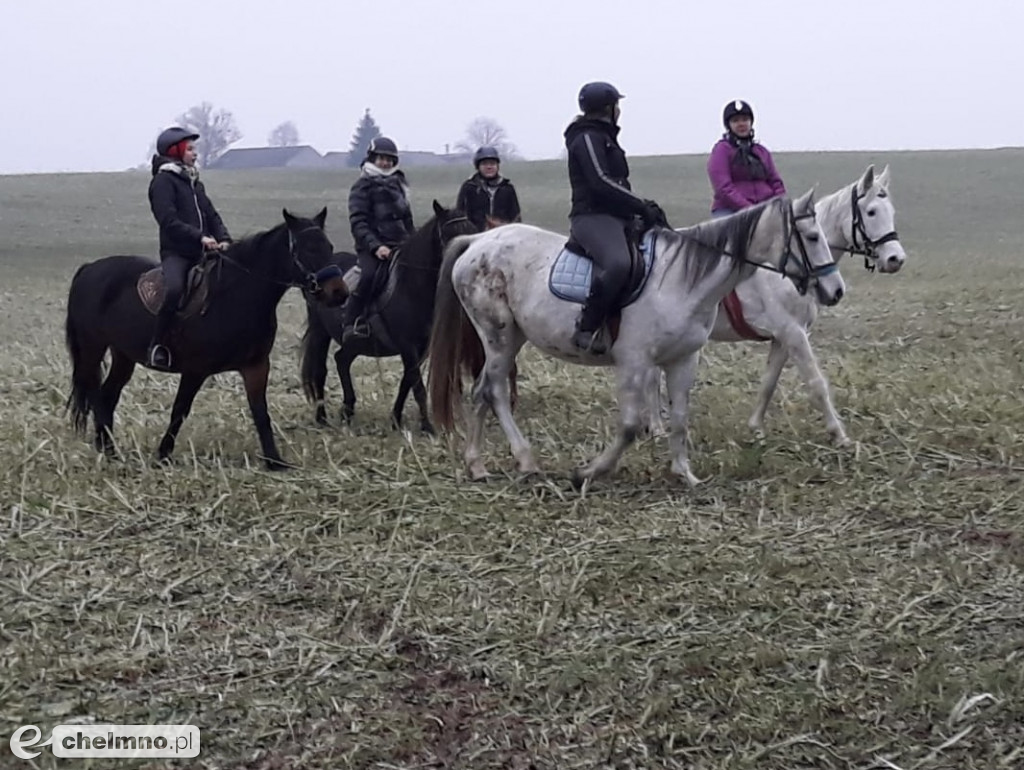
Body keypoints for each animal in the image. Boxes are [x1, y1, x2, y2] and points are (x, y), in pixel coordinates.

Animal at [68, 205, 350, 468]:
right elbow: (180, 411)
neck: (237, 295)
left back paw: (107, 448)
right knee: (95, 395)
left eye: (329, 246)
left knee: (108, 395)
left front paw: (274, 461)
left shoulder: (256, 366)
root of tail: (89, 269)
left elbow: (260, 412)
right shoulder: (195, 370)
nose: (339, 292)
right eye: (307, 249)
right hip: (92, 348)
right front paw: (163, 455)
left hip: (123, 355)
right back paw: (110, 450)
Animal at [299, 199, 475, 434]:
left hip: (355, 343)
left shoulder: (421, 348)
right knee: (319, 370)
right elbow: (417, 385)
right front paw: (427, 427)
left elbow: (407, 382)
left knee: (341, 360)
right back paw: (322, 418)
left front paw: (396, 419)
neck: (412, 285)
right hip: (320, 333)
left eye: (471, 230)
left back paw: (347, 411)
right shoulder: (408, 346)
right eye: (448, 234)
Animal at [428, 188, 843, 487]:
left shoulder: (683, 359)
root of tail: (478, 240)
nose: (835, 290)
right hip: (497, 335)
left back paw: (478, 464)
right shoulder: (634, 360)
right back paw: (524, 460)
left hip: (511, 338)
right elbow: (629, 426)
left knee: (483, 389)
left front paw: (684, 474)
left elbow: (680, 417)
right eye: (811, 236)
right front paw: (589, 471)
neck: (682, 280)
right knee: (495, 390)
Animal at [643, 164, 909, 442]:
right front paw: (839, 435)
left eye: (891, 211)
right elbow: (816, 382)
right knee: (651, 378)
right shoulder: (793, 332)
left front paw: (755, 428)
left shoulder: (782, 338)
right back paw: (657, 428)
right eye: (871, 211)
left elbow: (769, 382)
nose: (896, 259)